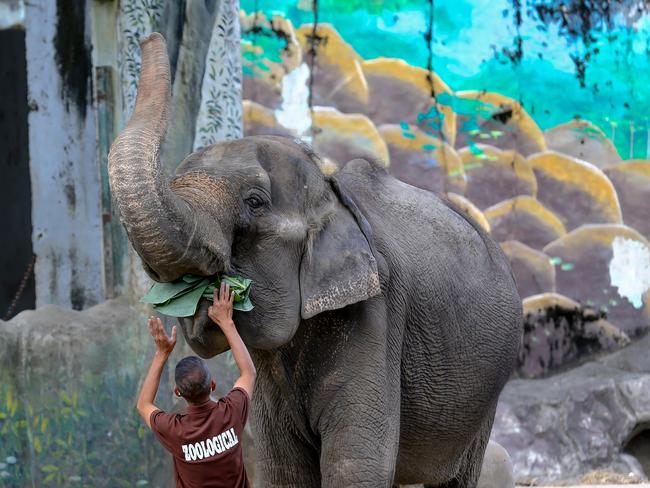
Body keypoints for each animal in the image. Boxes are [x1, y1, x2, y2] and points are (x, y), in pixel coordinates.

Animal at [107, 32, 520, 486]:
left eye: (255, 202)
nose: (149, 37)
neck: (330, 187)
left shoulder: (377, 314)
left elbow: (356, 465)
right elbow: (285, 469)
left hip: (485, 395)